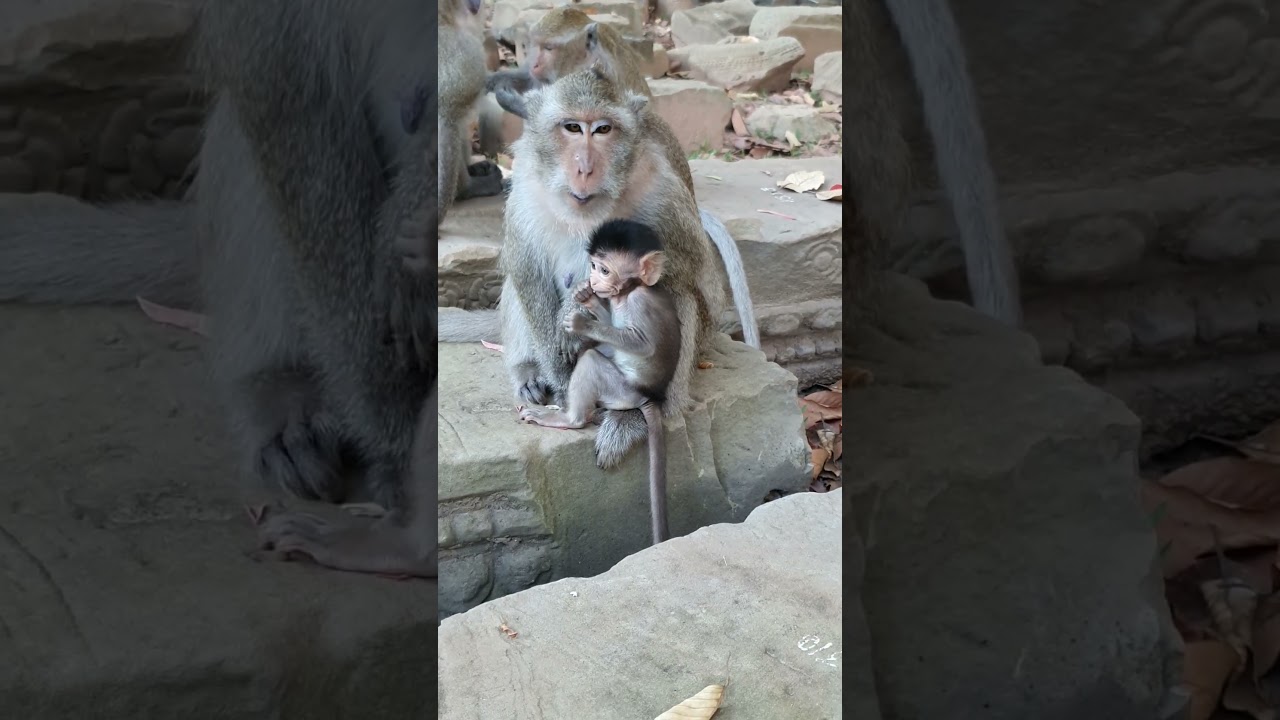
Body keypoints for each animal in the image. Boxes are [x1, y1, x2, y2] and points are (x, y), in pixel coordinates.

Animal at [518, 219, 679, 544]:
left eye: (604, 270)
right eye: (592, 266)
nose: (592, 278)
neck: (630, 290)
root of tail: (648, 397)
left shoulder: (638, 303)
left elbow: (641, 344)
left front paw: (581, 322)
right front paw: (587, 298)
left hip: (622, 391)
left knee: (592, 361)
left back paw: (570, 418)